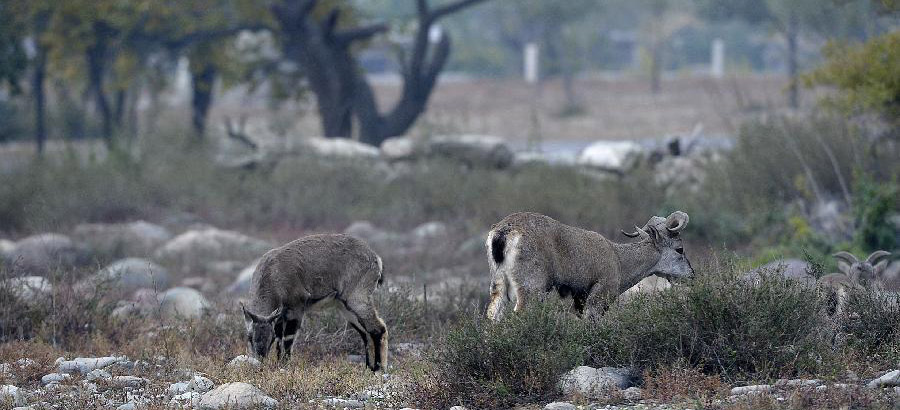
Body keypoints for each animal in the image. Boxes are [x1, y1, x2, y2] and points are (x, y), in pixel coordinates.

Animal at [240, 233, 388, 372]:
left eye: (269, 338)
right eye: (249, 337)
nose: (260, 359)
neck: (273, 275)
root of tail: (376, 258)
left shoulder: (296, 308)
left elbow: (287, 338)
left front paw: (284, 365)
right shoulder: (280, 317)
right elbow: (279, 339)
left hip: (357, 298)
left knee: (378, 329)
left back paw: (378, 369)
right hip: (345, 306)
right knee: (365, 334)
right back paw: (368, 368)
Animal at [485, 211, 694, 320]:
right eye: (680, 249)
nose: (691, 275)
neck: (619, 260)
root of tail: (502, 233)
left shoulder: (579, 299)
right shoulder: (599, 297)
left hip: (499, 285)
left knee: (493, 315)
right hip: (531, 289)